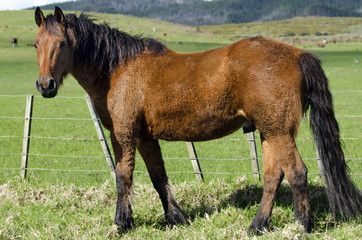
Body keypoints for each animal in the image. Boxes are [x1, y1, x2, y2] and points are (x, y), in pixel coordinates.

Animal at [33, 6, 360, 233]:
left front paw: (122, 223)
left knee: (297, 172)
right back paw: (257, 226)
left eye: (62, 43)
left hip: (279, 132)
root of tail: (297, 54)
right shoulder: (146, 137)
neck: (118, 69)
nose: (45, 85)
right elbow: (158, 177)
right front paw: (175, 218)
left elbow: (123, 176)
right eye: (36, 44)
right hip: (269, 132)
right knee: (272, 177)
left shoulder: (123, 134)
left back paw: (301, 225)